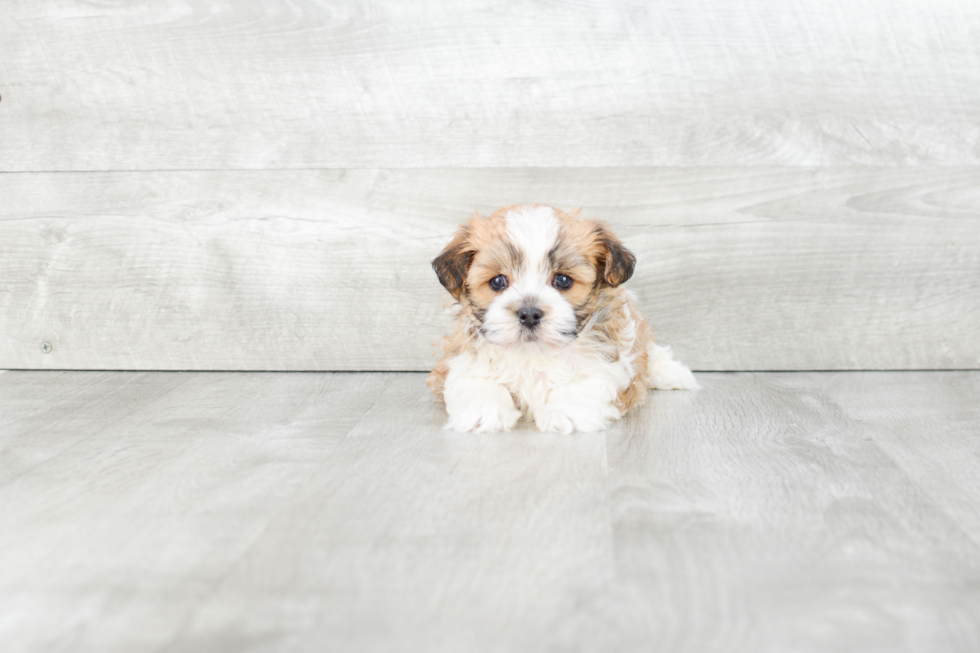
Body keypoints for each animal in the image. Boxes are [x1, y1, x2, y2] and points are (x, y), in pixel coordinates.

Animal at [428, 204, 696, 432]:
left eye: (563, 280)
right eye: (497, 281)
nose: (529, 313)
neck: (533, 354)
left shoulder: (606, 362)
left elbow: (583, 383)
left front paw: (566, 413)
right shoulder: (462, 359)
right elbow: (475, 381)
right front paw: (484, 412)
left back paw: (673, 373)